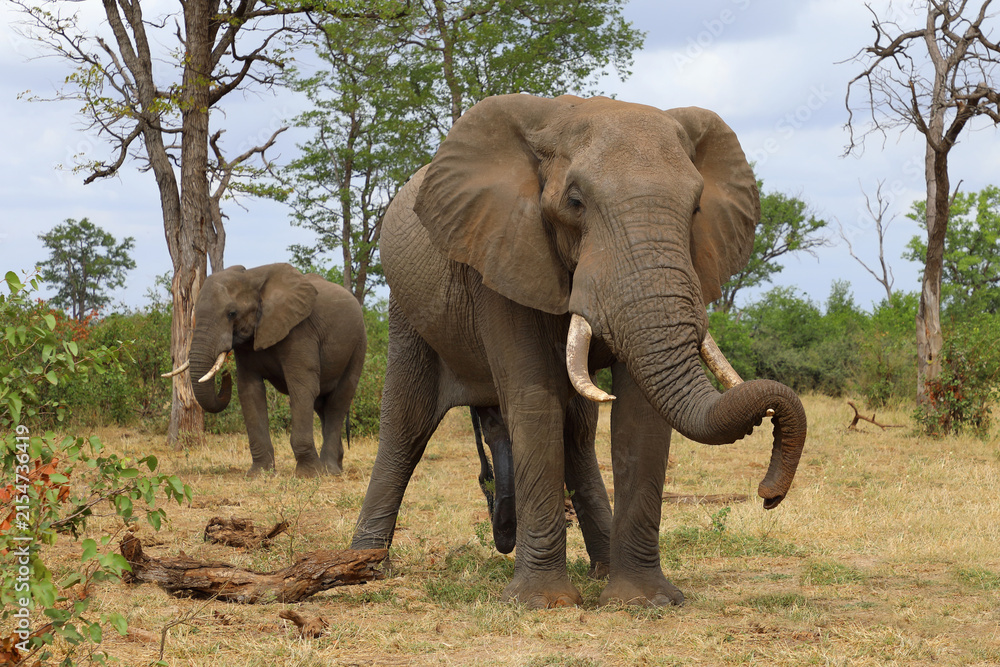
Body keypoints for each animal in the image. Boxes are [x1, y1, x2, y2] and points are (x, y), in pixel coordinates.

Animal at [164, 263, 367, 477]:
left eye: (232, 313)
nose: (226, 374)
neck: (253, 277)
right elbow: (250, 392)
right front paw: (259, 474)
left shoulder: (300, 330)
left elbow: (302, 388)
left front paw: (309, 475)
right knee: (322, 406)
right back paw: (336, 466)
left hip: (359, 344)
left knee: (338, 402)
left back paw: (329, 470)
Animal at [350, 94, 807, 609]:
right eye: (574, 202)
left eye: (695, 209)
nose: (769, 493)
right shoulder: (503, 250)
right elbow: (534, 400)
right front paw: (541, 604)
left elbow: (639, 415)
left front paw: (642, 601)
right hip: (408, 310)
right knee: (406, 425)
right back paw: (363, 568)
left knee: (579, 435)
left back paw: (601, 567)